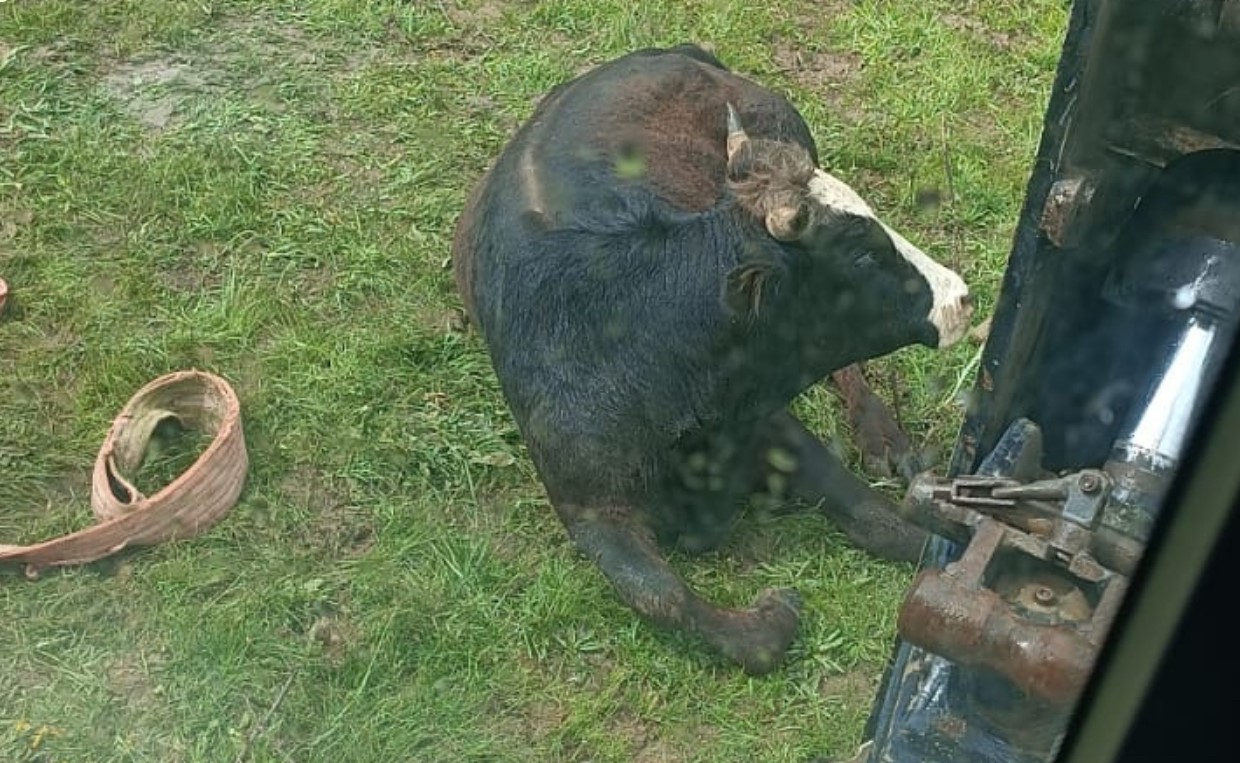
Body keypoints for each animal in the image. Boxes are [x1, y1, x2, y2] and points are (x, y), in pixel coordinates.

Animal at [451, 43, 972, 674]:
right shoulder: (587, 506)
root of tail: (673, 53)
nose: (961, 296)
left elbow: (874, 518)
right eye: (865, 255)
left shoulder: (768, 420)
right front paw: (771, 619)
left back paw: (882, 436)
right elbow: (661, 596)